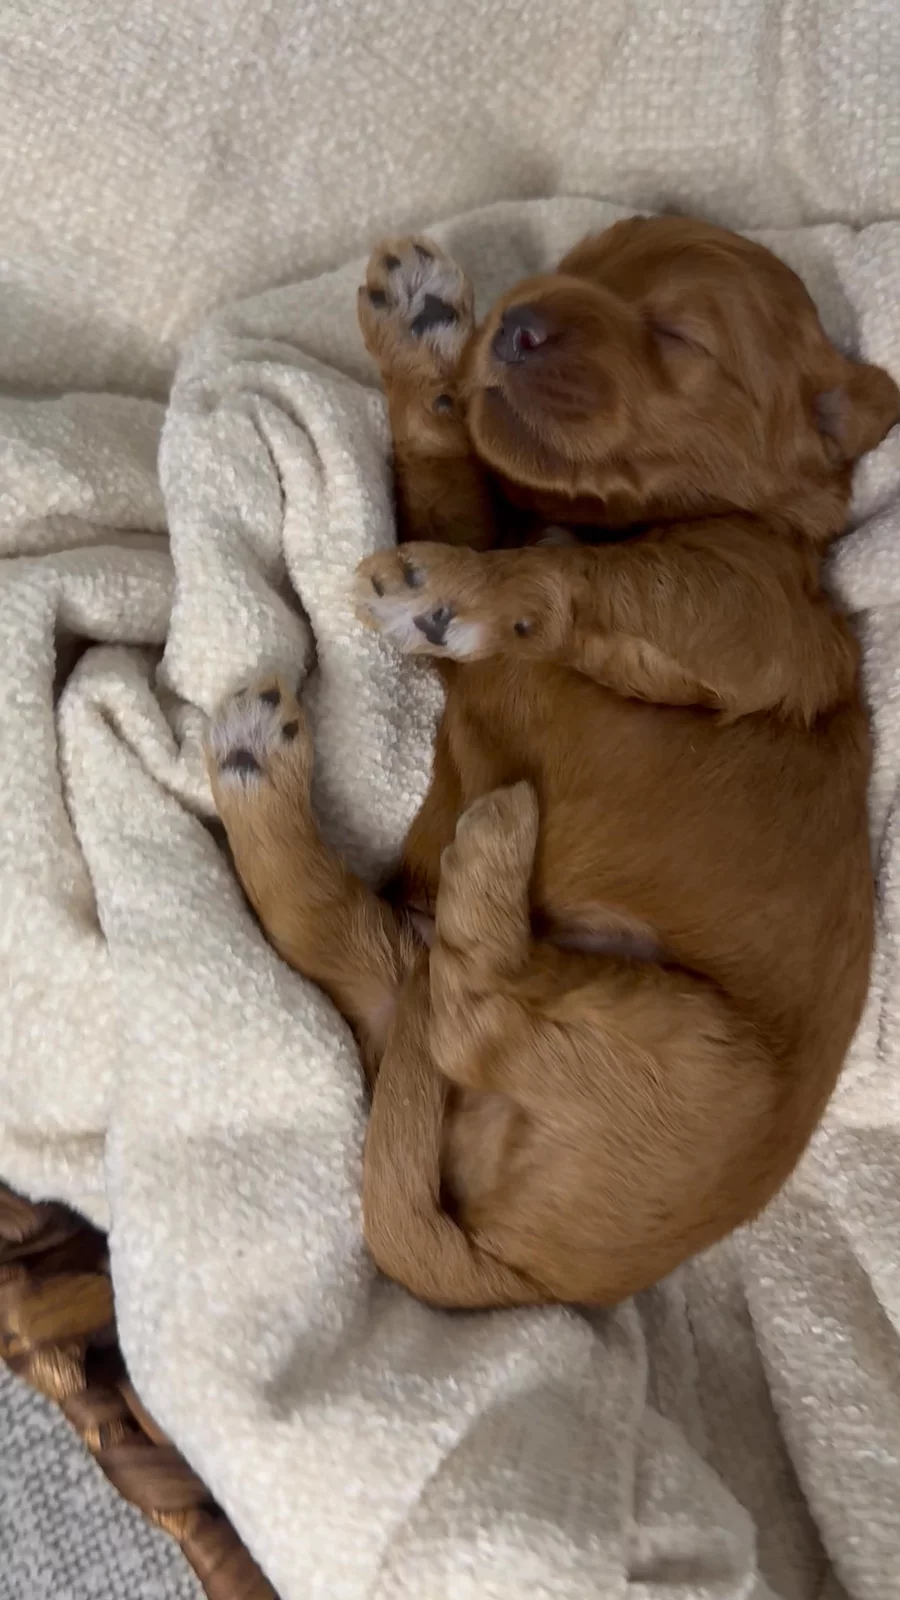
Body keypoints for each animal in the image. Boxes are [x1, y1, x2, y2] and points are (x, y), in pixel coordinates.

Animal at [206, 217, 900, 1307]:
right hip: (424, 997)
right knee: (344, 942)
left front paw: (460, 591)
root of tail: (522, 1279)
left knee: (469, 1010)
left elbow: (614, 575)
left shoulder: (755, 620)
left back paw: (482, 839)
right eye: (576, 270)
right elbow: (451, 475)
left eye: (681, 336)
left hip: (703, 1055)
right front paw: (422, 333)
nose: (517, 321)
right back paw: (253, 763)